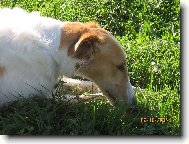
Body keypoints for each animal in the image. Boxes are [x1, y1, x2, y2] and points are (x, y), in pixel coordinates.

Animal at [0, 7, 136, 106]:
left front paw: (139, 90)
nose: (134, 104)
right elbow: (85, 98)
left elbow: (83, 83)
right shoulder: (43, 97)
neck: (50, 45)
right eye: (120, 66)